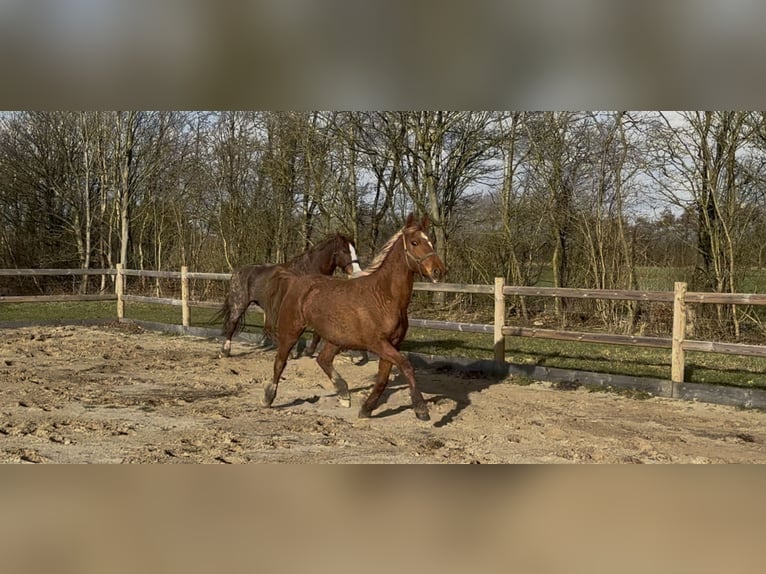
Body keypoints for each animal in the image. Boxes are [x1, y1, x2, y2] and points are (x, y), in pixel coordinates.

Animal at [218, 232, 362, 358]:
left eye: (354, 250)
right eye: (344, 250)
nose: (356, 272)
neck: (308, 271)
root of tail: (237, 272)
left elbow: (317, 333)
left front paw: (308, 351)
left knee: (267, 329)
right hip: (240, 303)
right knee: (233, 324)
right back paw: (225, 351)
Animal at [262, 213, 446, 421]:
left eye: (430, 241)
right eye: (415, 242)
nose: (438, 271)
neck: (384, 296)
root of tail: (296, 281)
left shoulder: (392, 344)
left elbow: (383, 378)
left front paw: (366, 409)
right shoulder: (377, 343)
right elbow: (406, 366)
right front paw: (421, 409)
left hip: (336, 338)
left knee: (323, 360)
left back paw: (343, 393)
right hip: (291, 330)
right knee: (280, 361)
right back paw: (269, 397)